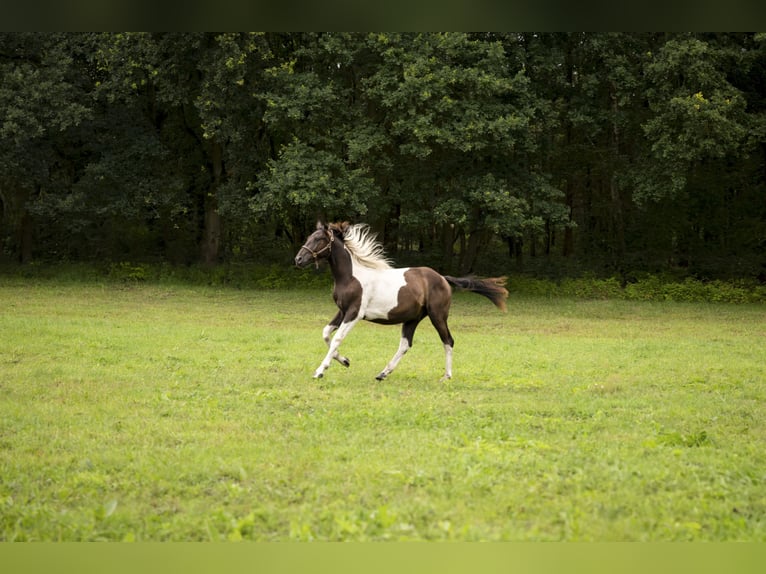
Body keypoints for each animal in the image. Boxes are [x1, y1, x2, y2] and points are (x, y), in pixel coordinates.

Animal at [296, 222, 510, 382]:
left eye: (319, 239)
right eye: (309, 237)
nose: (298, 259)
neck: (351, 276)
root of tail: (442, 278)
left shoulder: (354, 313)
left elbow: (337, 338)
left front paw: (320, 371)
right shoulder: (342, 311)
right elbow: (326, 334)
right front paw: (345, 360)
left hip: (437, 316)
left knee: (448, 340)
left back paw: (446, 376)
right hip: (412, 319)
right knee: (406, 344)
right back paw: (382, 373)